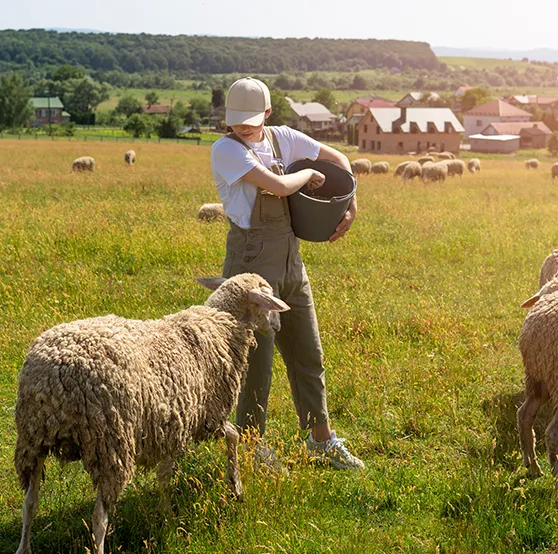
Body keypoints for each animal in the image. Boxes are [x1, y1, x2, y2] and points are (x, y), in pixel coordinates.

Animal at [15, 272, 290, 552]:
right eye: (268, 298)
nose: (278, 326)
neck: (220, 325)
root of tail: (55, 374)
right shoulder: (197, 417)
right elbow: (213, 446)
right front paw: (229, 490)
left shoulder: (180, 422)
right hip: (111, 445)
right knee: (99, 518)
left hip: (33, 438)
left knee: (30, 503)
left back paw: (23, 547)